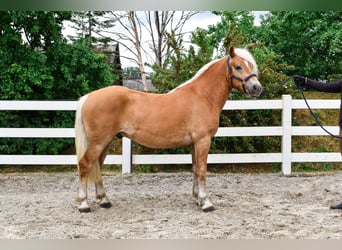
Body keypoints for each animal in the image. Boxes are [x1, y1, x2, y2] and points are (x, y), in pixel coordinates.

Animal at [75, 45, 262, 213]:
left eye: (250, 65)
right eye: (238, 66)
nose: (256, 88)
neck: (203, 97)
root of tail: (88, 97)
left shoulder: (194, 143)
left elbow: (195, 170)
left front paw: (197, 199)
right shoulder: (203, 140)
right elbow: (202, 170)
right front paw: (206, 202)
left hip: (105, 142)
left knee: (97, 166)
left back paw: (104, 200)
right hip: (99, 142)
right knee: (85, 165)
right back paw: (84, 204)